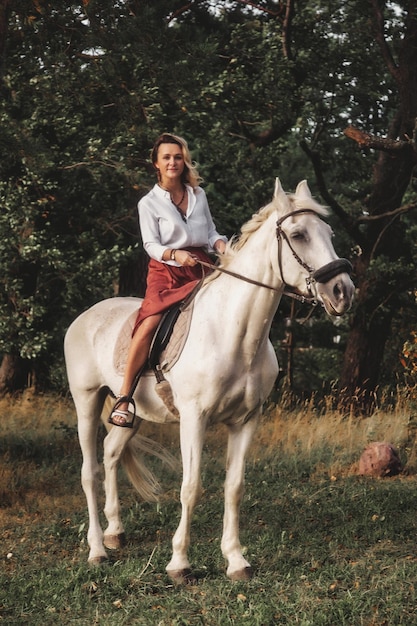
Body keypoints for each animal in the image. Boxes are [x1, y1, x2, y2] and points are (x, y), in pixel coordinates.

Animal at [63, 179, 352, 580]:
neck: (234, 334)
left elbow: (234, 486)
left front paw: (236, 560)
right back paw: (96, 550)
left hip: (131, 416)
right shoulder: (194, 419)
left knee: (111, 453)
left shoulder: (246, 420)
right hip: (86, 401)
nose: (343, 291)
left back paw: (114, 532)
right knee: (89, 472)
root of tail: (85, 316)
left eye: (329, 233)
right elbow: (191, 487)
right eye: (298, 234)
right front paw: (179, 563)